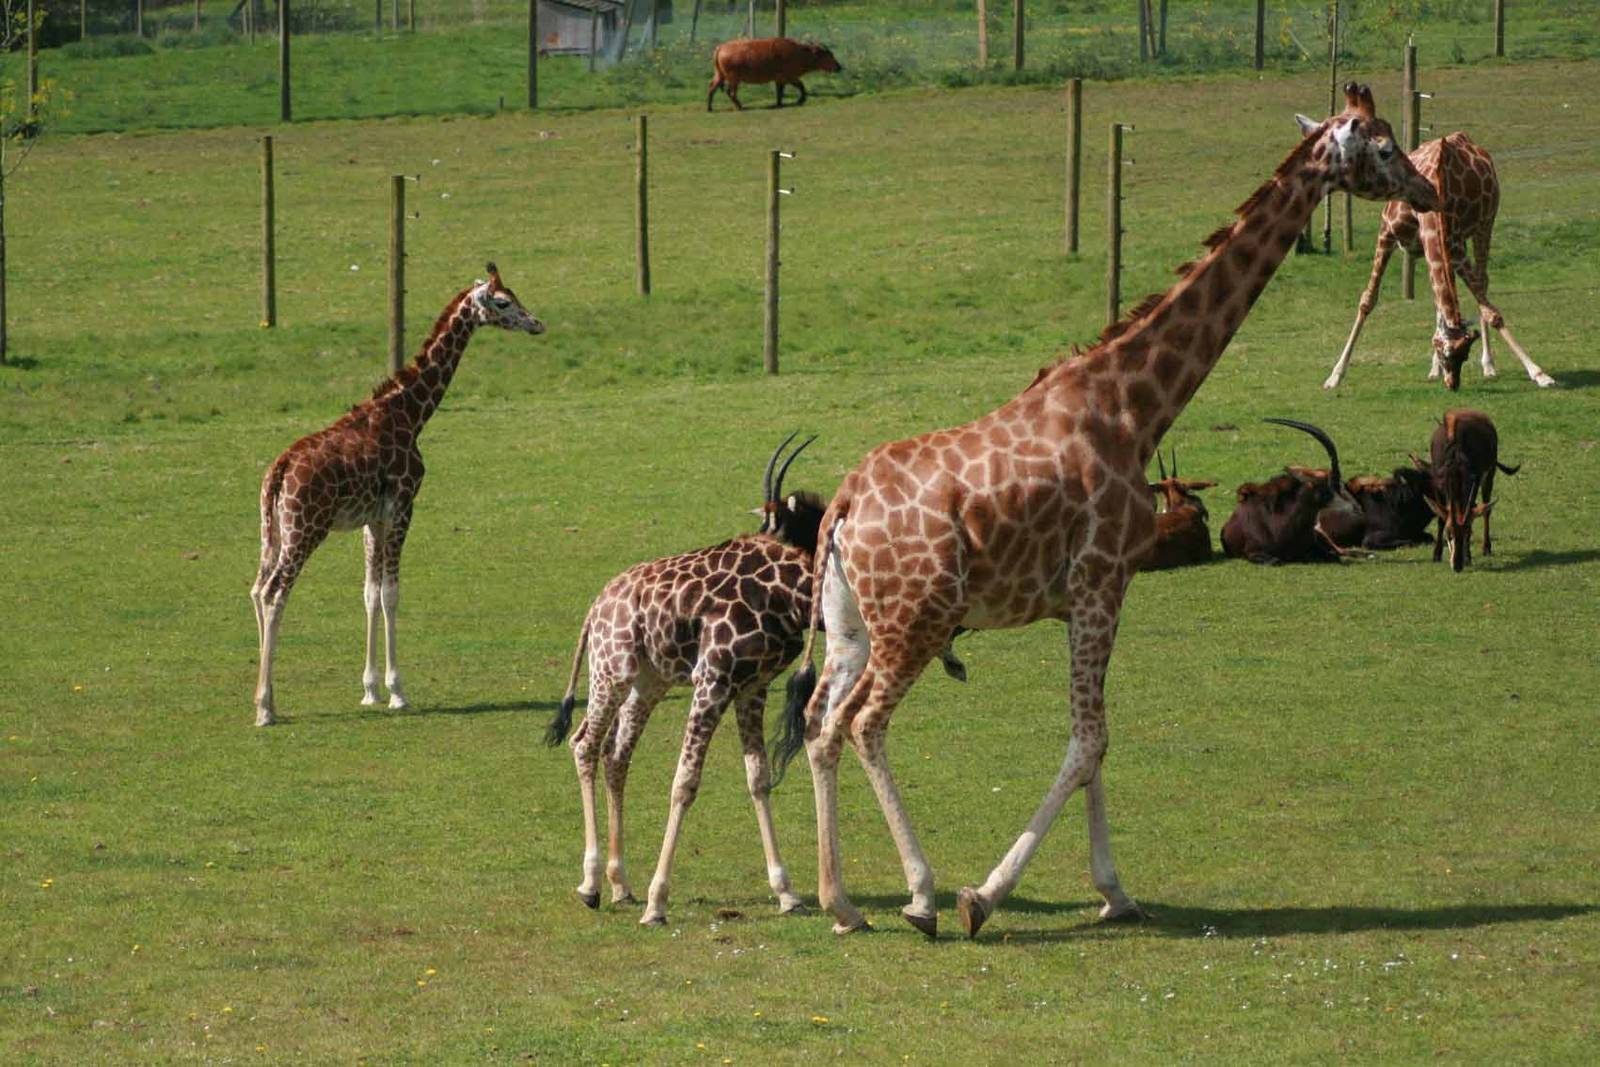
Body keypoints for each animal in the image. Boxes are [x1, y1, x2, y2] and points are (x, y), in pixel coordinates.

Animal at [250, 264, 545, 727]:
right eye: (502, 302)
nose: (536, 323)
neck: (410, 412)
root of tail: (278, 473)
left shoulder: (373, 517)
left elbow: (370, 593)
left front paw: (370, 689)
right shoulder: (404, 505)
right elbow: (391, 593)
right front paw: (398, 691)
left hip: (272, 532)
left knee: (256, 588)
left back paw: (271, 700)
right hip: (306, 530)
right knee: (274, 592)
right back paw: (263, 707)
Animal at [766, 84, 1439, 939]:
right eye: (1384, 147)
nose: (1429, 192)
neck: (1134, 408)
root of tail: (844, 506)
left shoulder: (1082, 598)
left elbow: (1095, 745)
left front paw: (1114, 890)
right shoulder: (1102, 583)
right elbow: (1090, 740)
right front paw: (984, 894)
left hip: (853, 625)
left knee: (822, 723)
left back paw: (843, 902)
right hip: (915, 620)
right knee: (862, 722)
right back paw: (919, 894)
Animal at [1323, 131, 1555, 390]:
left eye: (1465, 356)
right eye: (1446, 353)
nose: (1452, 384)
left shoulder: (1453, 244)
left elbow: (1490, 311)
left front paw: (1539, 373)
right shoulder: (1387, 233)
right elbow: (1368, 300)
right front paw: (1334, 375)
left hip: (1484, 225)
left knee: (1481, 281)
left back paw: (1488, 365)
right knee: (1442, 299)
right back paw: (1436, 369)